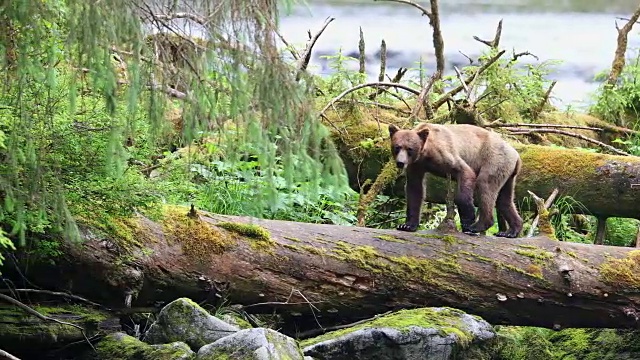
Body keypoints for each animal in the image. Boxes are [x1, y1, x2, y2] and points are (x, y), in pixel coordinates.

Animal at [388, 122, 524, 238]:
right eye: (397, 147)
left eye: (409, 148)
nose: (400, 162)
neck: (425, 153)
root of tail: (517, 155)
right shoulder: (416, 166)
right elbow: (414, 190)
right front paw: (406, 225)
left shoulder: (444, 153)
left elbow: (465, 173)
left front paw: (468, 220)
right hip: (508, 174)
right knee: (504, 200)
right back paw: (511, 231)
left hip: (494, 160)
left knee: (485, 186)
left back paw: (478, 226)